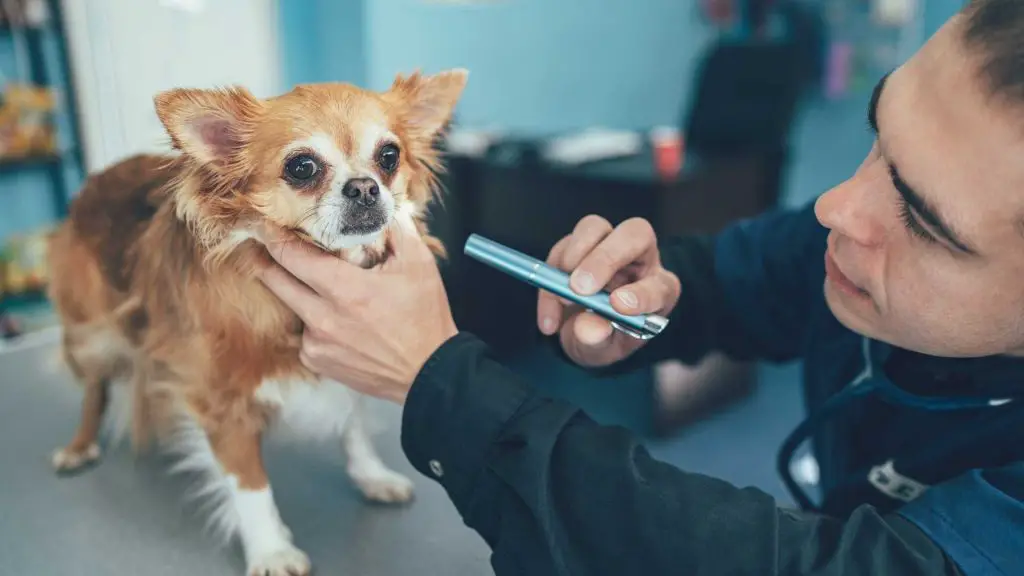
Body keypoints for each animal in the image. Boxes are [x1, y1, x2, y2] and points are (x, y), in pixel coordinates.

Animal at [45, 69, 468, 569]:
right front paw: (271, 549)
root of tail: (95, 180)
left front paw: (371, 475)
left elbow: (353, 425)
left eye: (389, 156)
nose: (365, 187)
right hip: (91, 337)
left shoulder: (342, 363)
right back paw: (79, 446)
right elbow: (250, 488)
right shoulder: (221, 402)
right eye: (302, 167)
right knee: (94, 388)